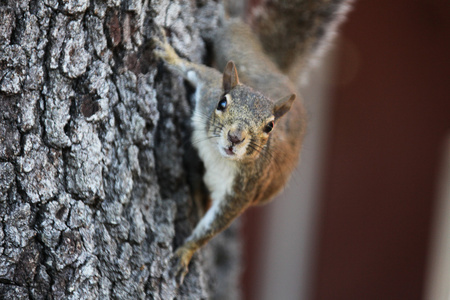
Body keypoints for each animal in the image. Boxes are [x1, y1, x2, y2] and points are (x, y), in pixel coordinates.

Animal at [155, 0, 352, 284]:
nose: (235, 137)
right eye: (222, 103)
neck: (218, 155)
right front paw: (171, 55)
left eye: (270, 126)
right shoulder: (210, 88)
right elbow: (197, 71)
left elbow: (214, 225)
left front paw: (186, 251)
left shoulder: (243, 190)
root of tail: (279, 73)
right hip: (235, 48)